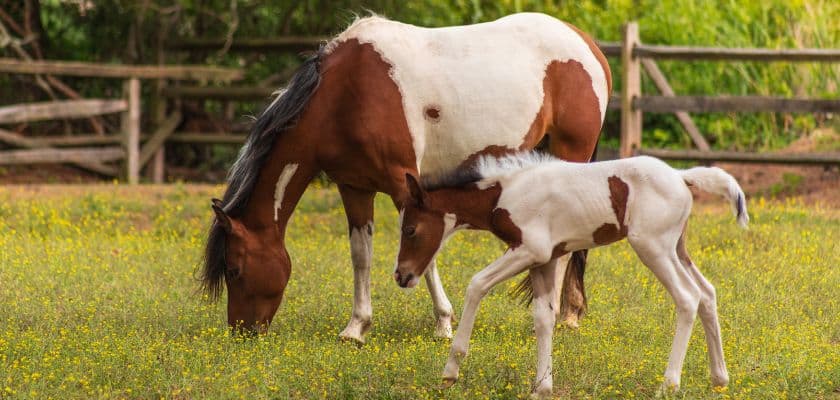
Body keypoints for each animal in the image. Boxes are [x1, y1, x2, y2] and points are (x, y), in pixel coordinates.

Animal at [201, 13, 612, 340]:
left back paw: (551, 315)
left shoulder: (404, 185)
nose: (241, 332)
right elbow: (361, 254)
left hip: (571, 150)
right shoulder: (354, 188)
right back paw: (569, 313)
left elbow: (425, 251)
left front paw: (444, 324)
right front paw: (356, 328)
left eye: (234, 270)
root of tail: (587, 45)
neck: (345, 95)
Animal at [394, 153, 748, 397]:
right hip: (677, 249)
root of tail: (680, 175)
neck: (504, 194)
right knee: (707, 294)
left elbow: (476, 284)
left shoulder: (528, 250)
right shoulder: (544, 260)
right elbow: (543, 319)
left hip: (653, 247)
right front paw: (541, 387)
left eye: (410, 229)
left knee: (688, 298)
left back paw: (668, 385)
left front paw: (450, 372)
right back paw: (719, 379)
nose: (401, 275)